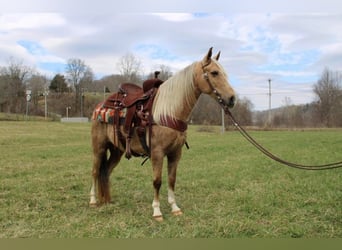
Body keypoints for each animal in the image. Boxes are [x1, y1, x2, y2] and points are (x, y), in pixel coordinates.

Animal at [89, 47, 236, 221]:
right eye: (214, 73)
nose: (232, 98)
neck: (169, 112)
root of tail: (101, 105)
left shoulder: (175, 153)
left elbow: (171, 180)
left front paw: (174, 207)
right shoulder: (157, 153)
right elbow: (157, 181)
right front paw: (157, 211)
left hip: (117, 150)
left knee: (106, 171)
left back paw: (107, 200)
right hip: (99, 147)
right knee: (95, 171)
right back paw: (93, 200)